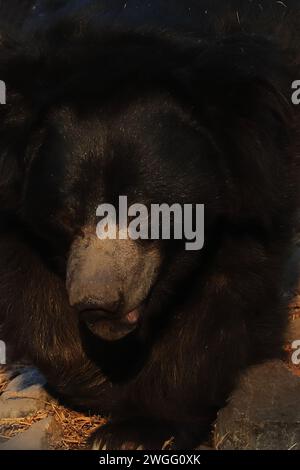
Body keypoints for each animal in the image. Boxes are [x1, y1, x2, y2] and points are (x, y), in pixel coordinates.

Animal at [0, 0, 300, 452]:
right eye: (67, 215)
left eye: (145, 213)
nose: (97, 302)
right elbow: (30, 289)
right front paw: (92, 378)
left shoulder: (257, 176)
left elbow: (225, 300)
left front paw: (135, 430)